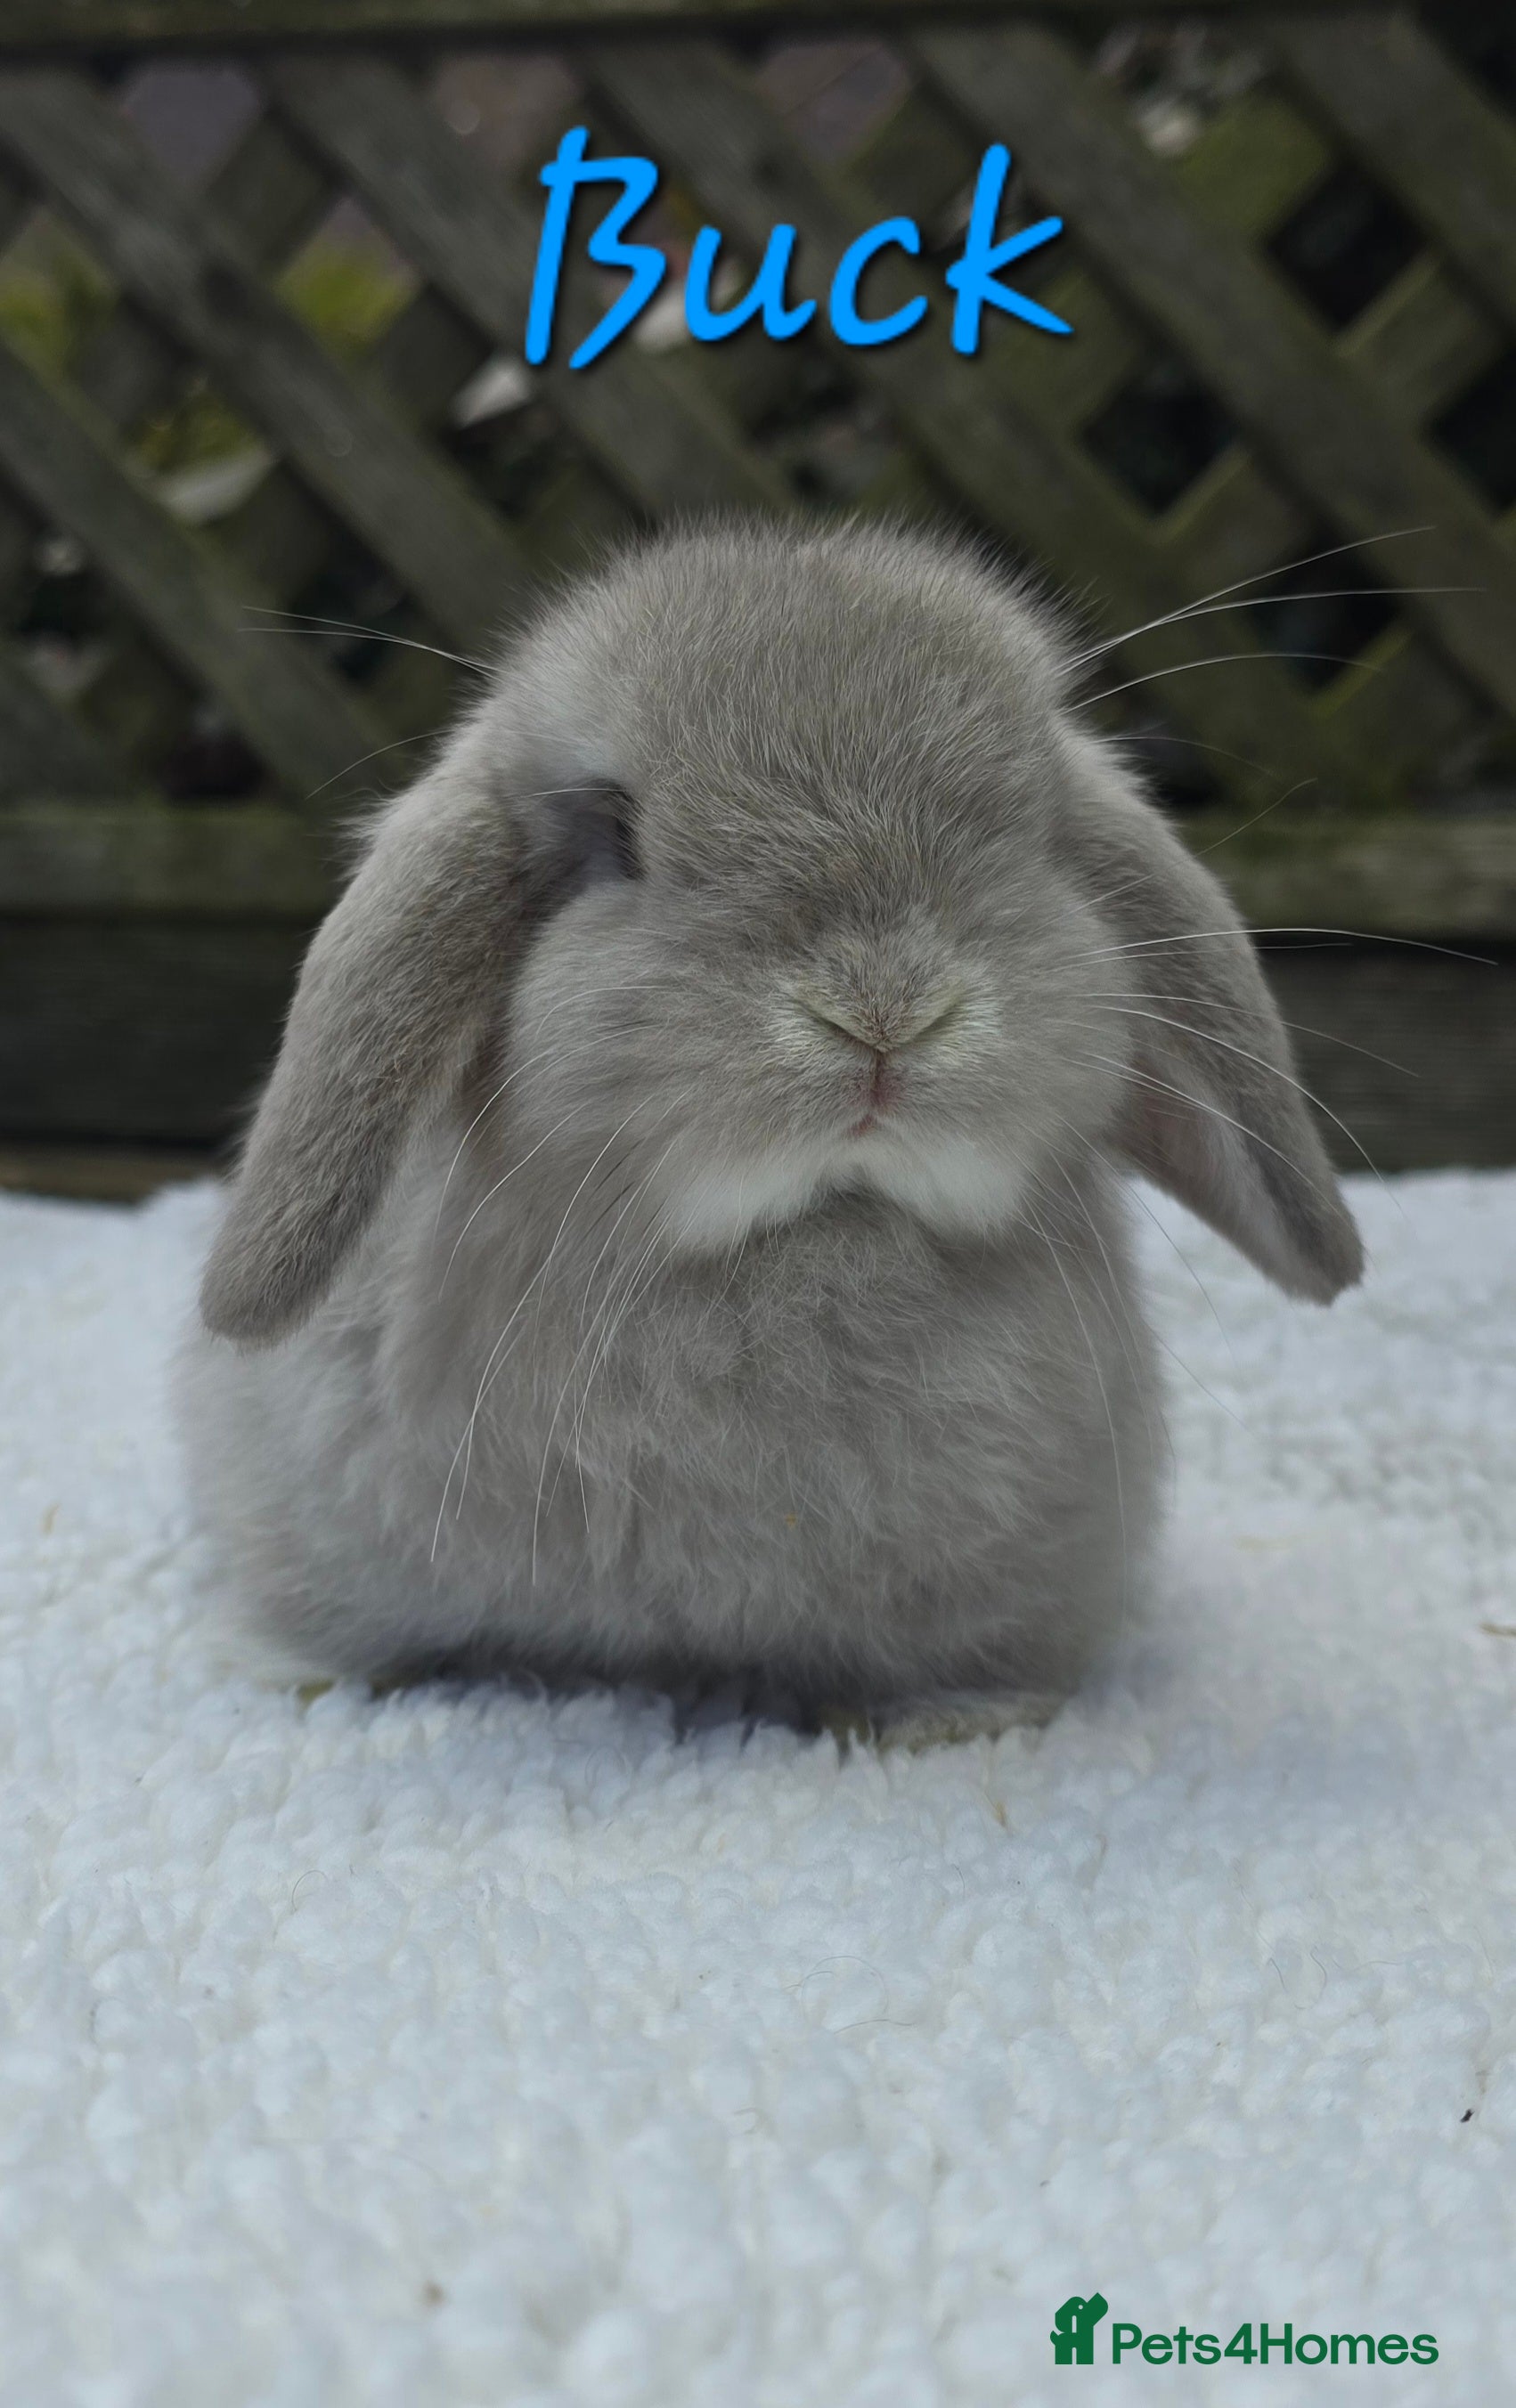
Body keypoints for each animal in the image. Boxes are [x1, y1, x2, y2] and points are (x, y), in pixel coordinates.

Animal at [178, 519, 1362, 1736]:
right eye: (616, 832)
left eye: (1032, 832)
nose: (883, 1011)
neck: (803, 1236)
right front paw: (300, 1674)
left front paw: (957, 1720)